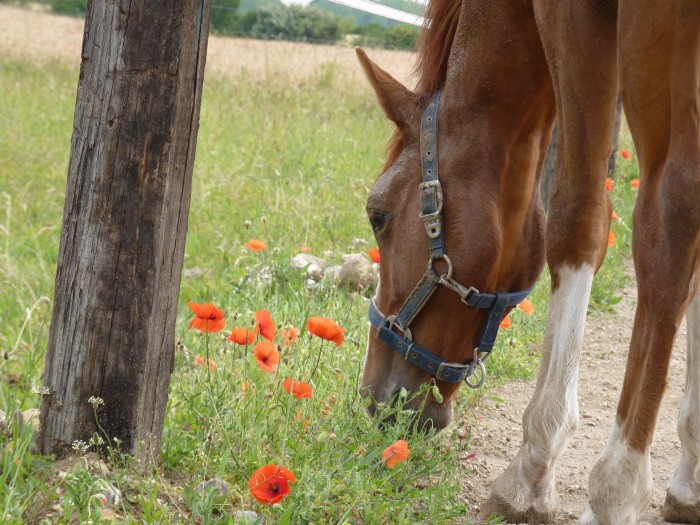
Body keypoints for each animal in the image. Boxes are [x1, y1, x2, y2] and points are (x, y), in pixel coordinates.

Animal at [358, 1, 700, 524]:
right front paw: (689, 480)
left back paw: (615, 489)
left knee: (668, 223)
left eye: (377, 215)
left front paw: (533, 472)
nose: (372, 396)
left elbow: (579, 216)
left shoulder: (574, 18)